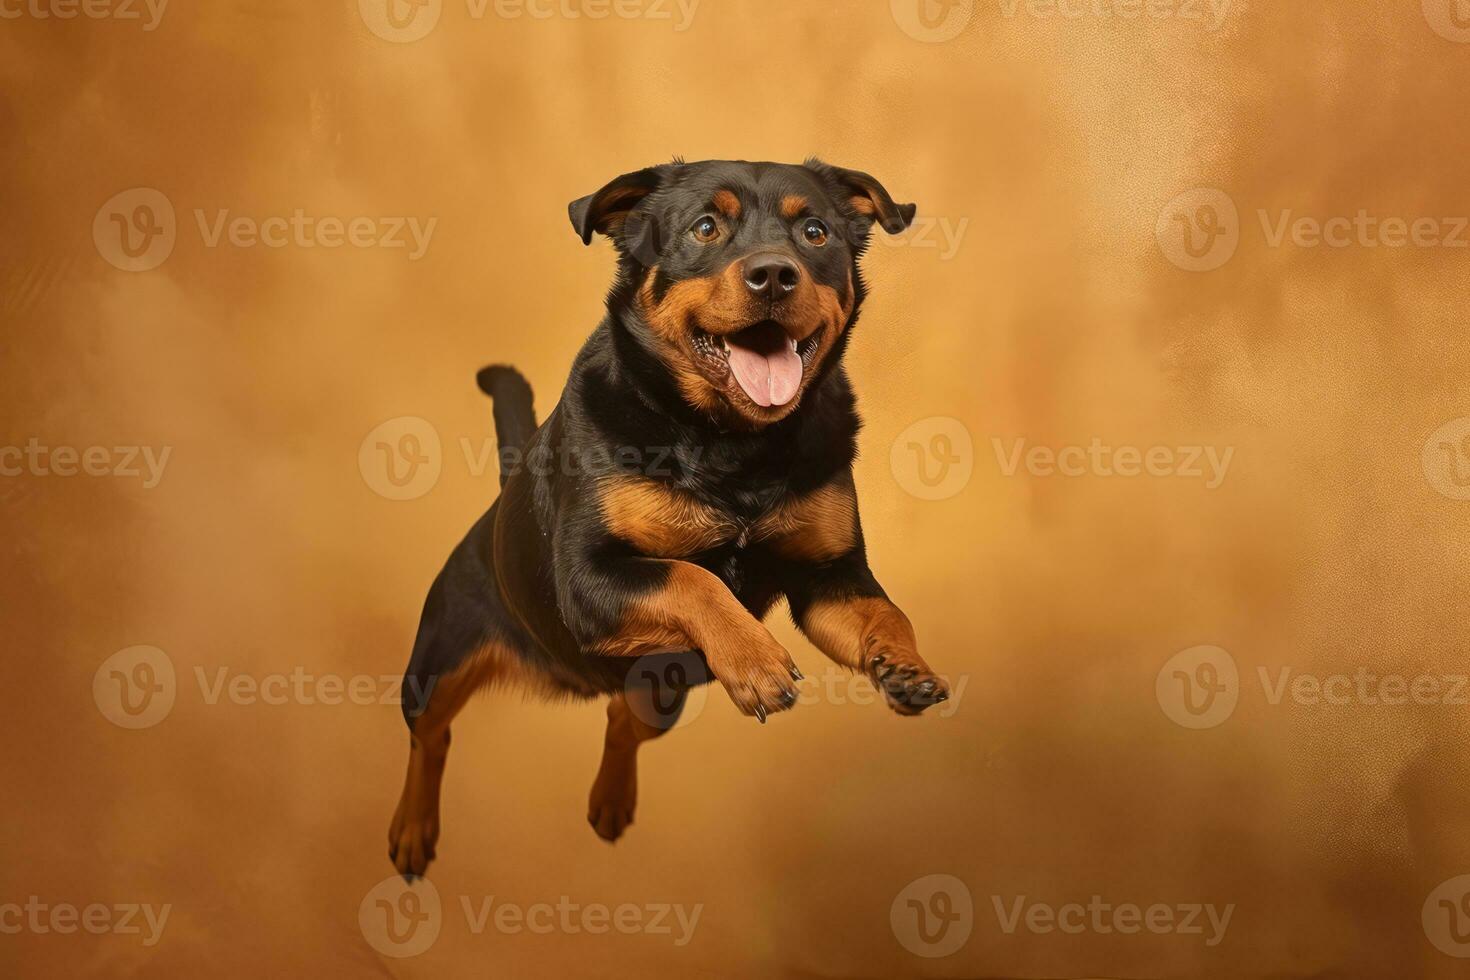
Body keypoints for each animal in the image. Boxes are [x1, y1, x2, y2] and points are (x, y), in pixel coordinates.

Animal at [388, 157, 940, 875]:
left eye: (815, 231)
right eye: (705, 228)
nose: (774, 273)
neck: (733, 441)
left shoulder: (830, 579)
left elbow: (886, 613)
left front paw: (905, 666)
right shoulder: (587, 581)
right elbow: (692, 577)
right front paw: (755, 658)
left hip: (661, 688)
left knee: (623, 720)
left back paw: (611, 800)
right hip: (439, 657)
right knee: (431, 733)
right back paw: (412, 828)